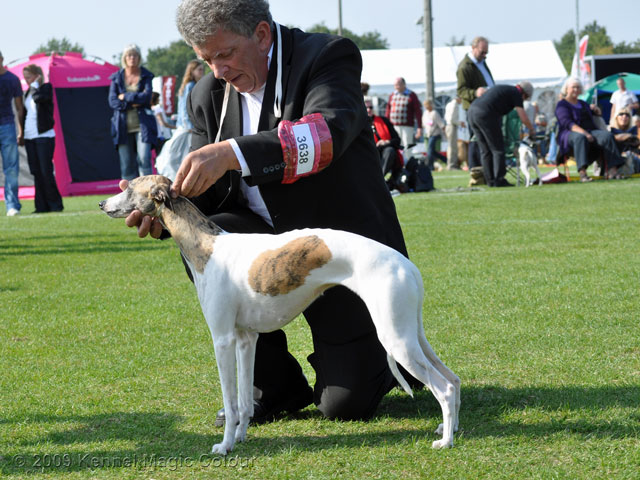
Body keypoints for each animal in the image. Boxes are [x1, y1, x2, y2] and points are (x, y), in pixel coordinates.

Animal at [99, 175, 460, 455]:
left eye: (130, 187)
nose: (101, 204)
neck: (206, 244)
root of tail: (407, 265)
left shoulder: (223, 340)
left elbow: (231, 400)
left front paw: (225, 445)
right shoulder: (246, 339)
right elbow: (245, 401)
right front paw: (241, 437)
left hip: (395, 337)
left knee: (442, 387)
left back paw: (444, 442)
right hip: (411, 333)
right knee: (453, 380)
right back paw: (449, 430)